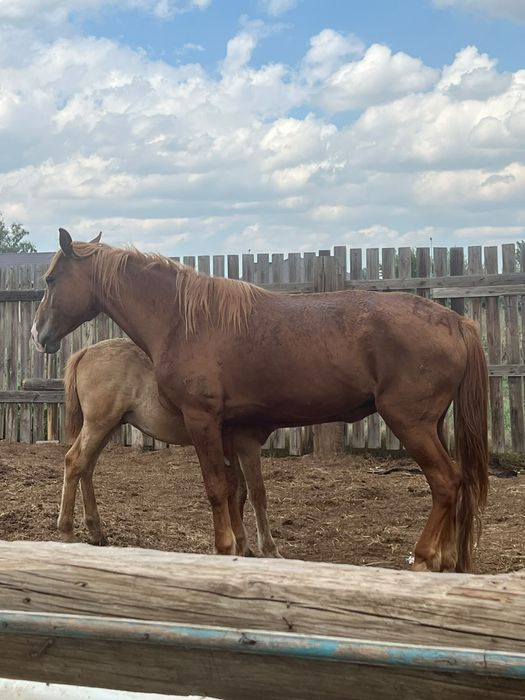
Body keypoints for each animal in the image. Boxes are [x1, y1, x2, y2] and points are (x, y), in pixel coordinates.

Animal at [59, 337, 280, 557]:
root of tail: (87, 351)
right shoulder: (246, 443)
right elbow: (254, 492)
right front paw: (264, 549)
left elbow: (238, 490)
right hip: (99, 424)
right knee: (74, 461)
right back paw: (67, 531)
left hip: (108, 426)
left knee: (86, 467)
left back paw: (96, 532)